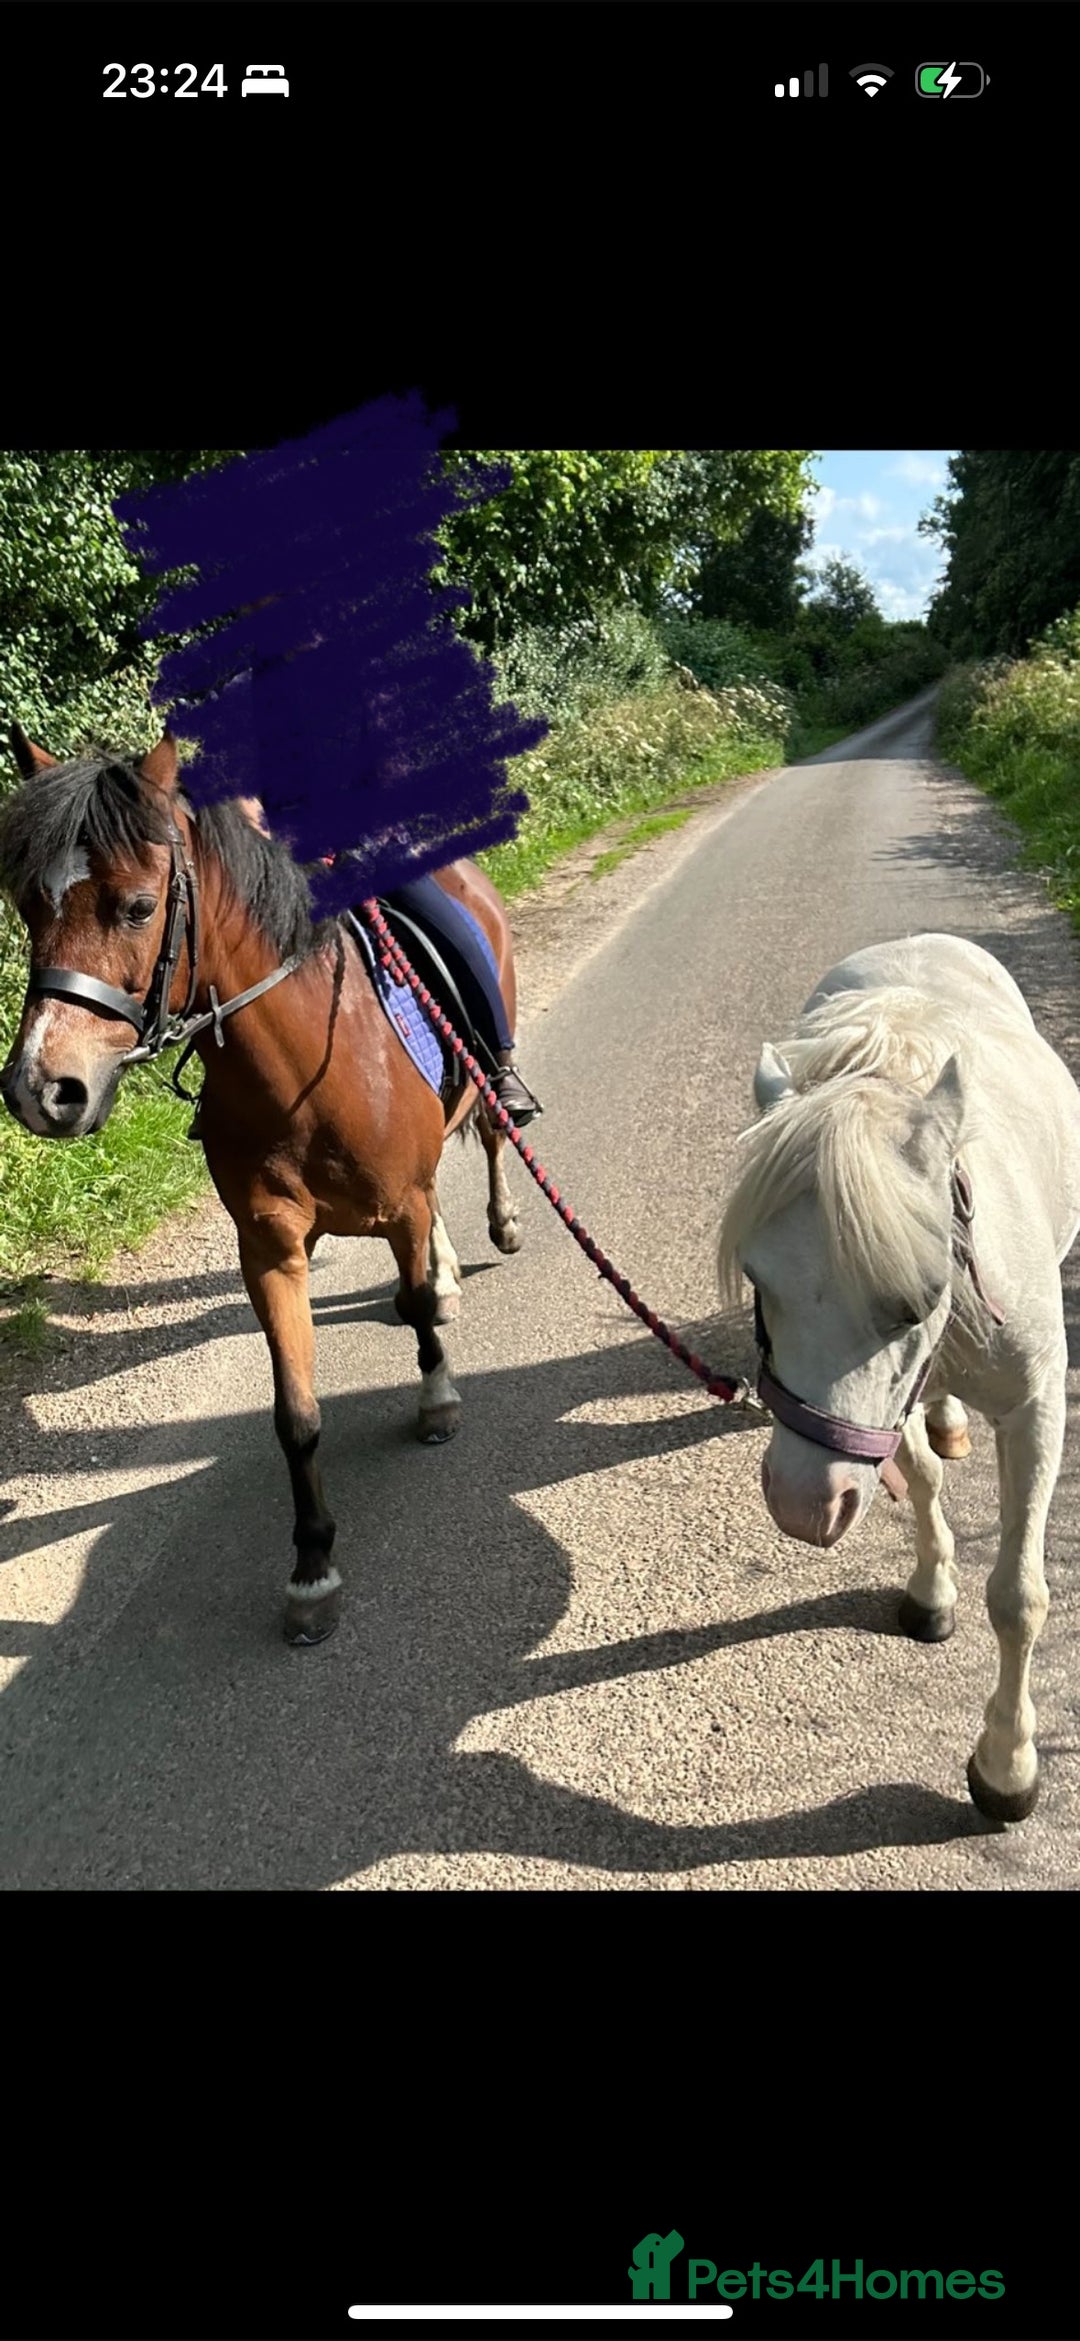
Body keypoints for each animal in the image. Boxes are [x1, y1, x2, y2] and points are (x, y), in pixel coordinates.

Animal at [0, 729, 525, 1646]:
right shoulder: (269, 1246)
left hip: (482, 1072)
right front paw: (313, 1565)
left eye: (137, 907)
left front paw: (436, 1398)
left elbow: (415, 1305)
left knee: (492, 1131)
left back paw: (501, 1220)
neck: (304, 1069)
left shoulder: (398, 1205)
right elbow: (296, 1412)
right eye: (30, 907)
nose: (43, 1090)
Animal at [716, 932, 1080, 1825]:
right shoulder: (886, 1412)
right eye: (758, 1281)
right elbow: (917, 1480)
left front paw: (1007, 1766)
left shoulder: (1036, 1409)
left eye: (917, 1298)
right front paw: (930, 1589)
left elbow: (1018, 1596)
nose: (801, 1505)